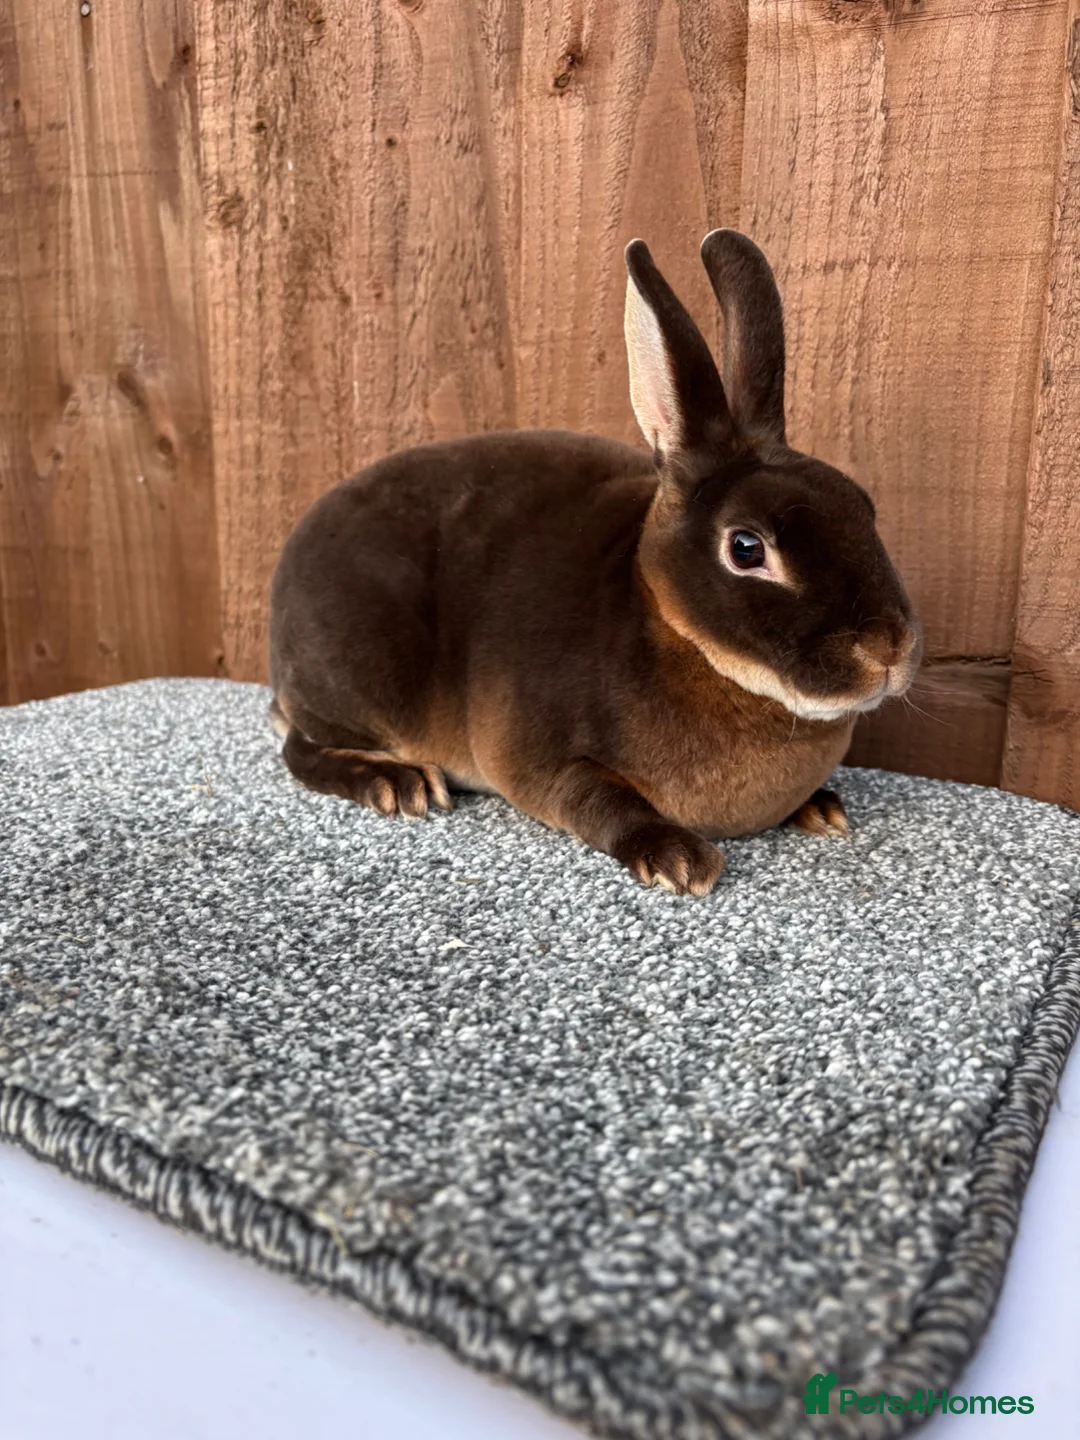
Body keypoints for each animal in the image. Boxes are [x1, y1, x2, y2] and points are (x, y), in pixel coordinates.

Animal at [269, 229, 921, 895]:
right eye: (746, 548)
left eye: (862, 506)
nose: (887, 648)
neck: (681, 636)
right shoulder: (547, 760)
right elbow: (600, 801)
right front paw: (679, 859)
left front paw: (822, 808)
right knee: (299, 747)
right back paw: (398, 784)